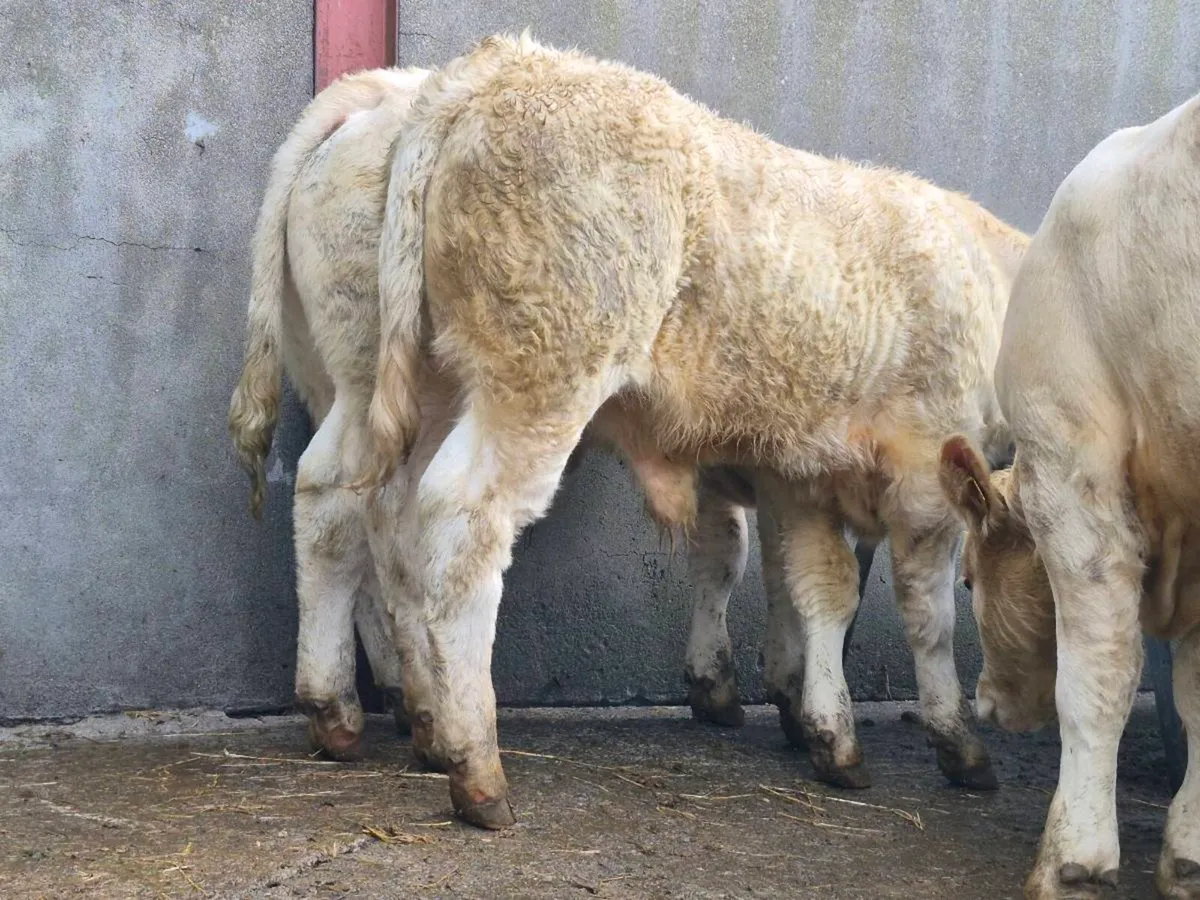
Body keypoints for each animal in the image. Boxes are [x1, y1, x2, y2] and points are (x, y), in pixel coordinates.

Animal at [358, 32, 1027, 829]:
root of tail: (501, 63)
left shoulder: (802, 476)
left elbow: (819, 590)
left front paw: (825, 731)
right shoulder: (927, 467)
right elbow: (928, 615)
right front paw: (958, 743)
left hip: (439, 382)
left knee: (399, 522)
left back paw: (430, 725)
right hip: (538, 378)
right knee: (462, 525)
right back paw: (476, 766)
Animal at [938, 91, 1200, 899]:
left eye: (969, 581)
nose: (986, 700)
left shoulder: (1072, 465)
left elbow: (1098, 672)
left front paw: (1075, 859)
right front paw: (1190, 852)